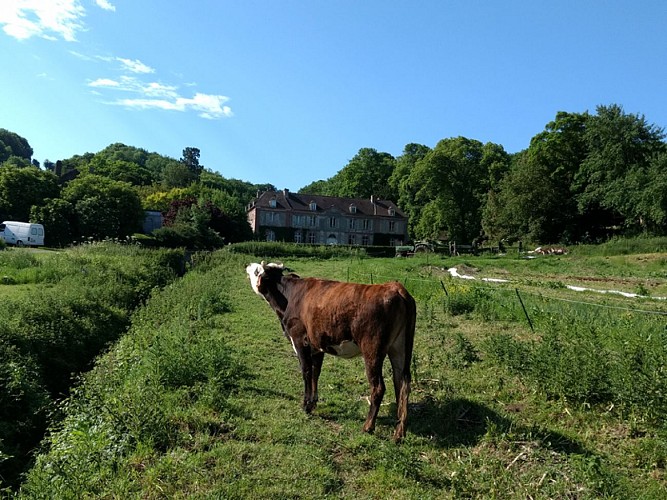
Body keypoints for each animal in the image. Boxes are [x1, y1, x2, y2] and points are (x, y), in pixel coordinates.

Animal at [248, 262, 414, 442]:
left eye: (257, 270)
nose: (248, 265)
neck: (289, 297)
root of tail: (394, 287)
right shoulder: (317, 345)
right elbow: (316, 373)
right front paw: (313, 403)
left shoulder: (300, 340)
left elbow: (306, 372)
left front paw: (305, 405)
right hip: (400, 349)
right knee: (402, 384)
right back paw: (399, 433)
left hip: (373, 350)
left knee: (378, 387)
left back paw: (368, 426)